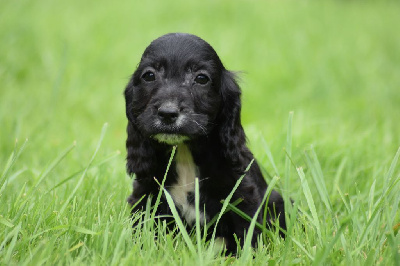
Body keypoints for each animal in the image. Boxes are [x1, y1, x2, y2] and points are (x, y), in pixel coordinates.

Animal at [123, 32, 286, 252]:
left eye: (201, 78)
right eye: (149, 75)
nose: (167, 113)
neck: (184, 151)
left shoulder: (244, 196)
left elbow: (246, 234)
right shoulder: (145, 195)